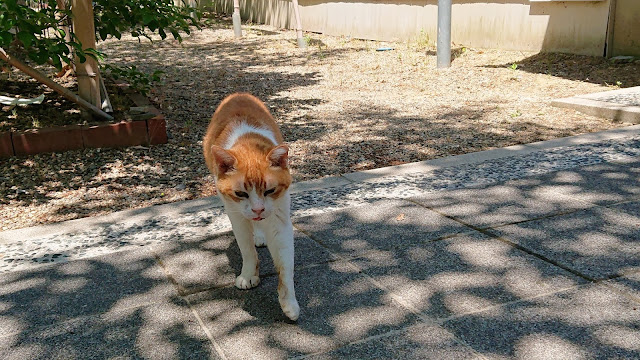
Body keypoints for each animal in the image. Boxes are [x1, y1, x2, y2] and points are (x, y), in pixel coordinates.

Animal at [202, 93, 300, 320]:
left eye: (270, 191)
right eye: (240, 193)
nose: (257, 209)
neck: (248, 145)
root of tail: (239, 94)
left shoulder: (279, 218)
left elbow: (285, 265)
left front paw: (289, 303)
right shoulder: (236, 214)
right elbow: (246, 249)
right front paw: (248, 275)